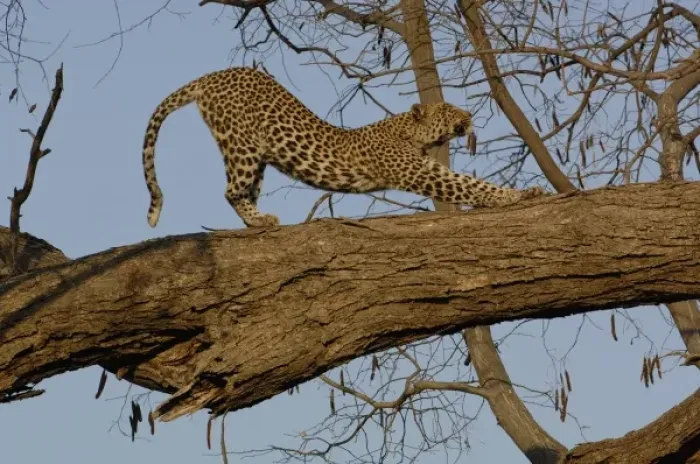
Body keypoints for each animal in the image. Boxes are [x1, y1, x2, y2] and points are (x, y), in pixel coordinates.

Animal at [142, 67, 545, 228]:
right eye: (448, 110)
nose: (469, 114)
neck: (409, 132)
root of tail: (209, 77)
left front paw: (525, 192)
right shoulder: (415, 169)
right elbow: (468, 184)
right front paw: (517, 195)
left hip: (257, 156)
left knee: (243, 191)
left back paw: (258, 220)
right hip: (240, 145)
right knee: (230, 191)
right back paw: (259, 220)